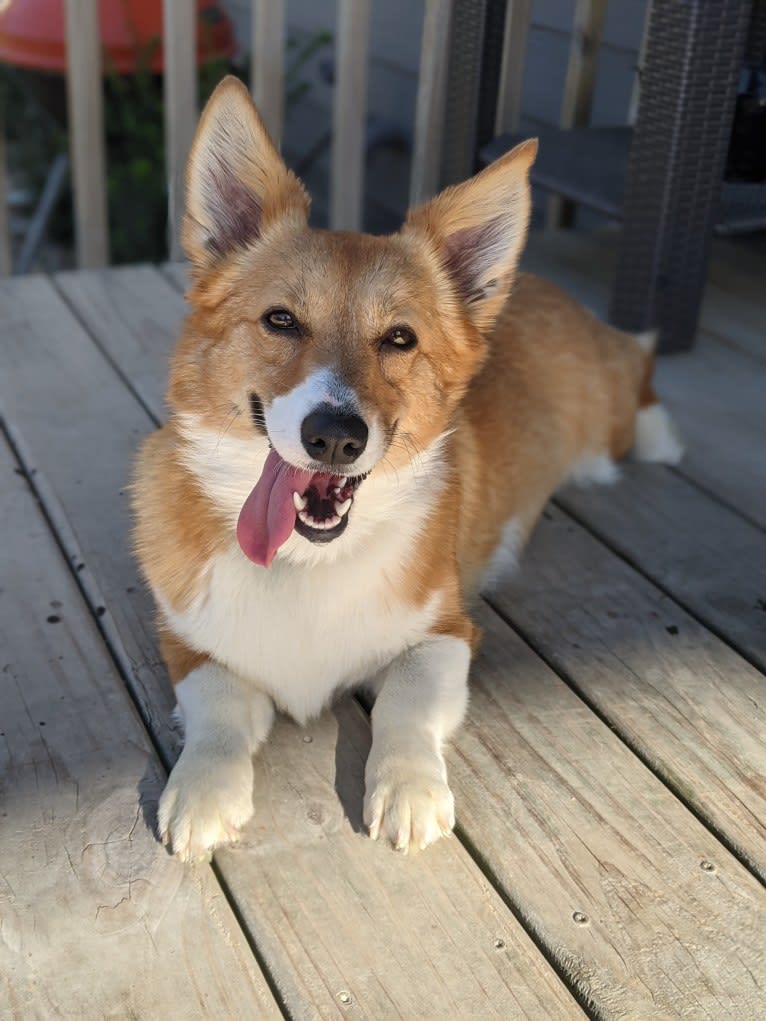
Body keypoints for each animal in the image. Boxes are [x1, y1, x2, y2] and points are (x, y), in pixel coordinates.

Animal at [131, 77, 682, 861]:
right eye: (280, 320)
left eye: (399, 338)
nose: (335, 438)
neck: (304, 565)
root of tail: (546, 289)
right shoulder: (187, 645)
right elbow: (217, 710)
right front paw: (204, 790)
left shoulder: (446, 633)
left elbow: (404, 702)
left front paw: (410, 789)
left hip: (609, 406)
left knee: (641, 362)